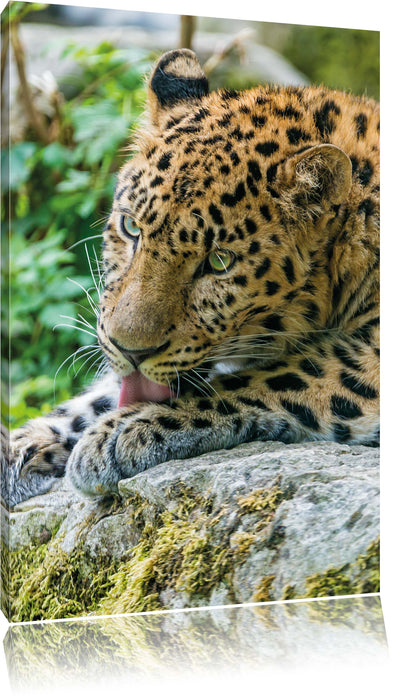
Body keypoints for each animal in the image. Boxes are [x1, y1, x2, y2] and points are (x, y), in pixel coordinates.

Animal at [2, 49, 379, 508]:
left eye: (218, 263)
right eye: (131, 227)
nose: (130, 350)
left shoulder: (369, 355)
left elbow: (275, 375)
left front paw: (125, 429)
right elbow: (102, 392)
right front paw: (21, 445)